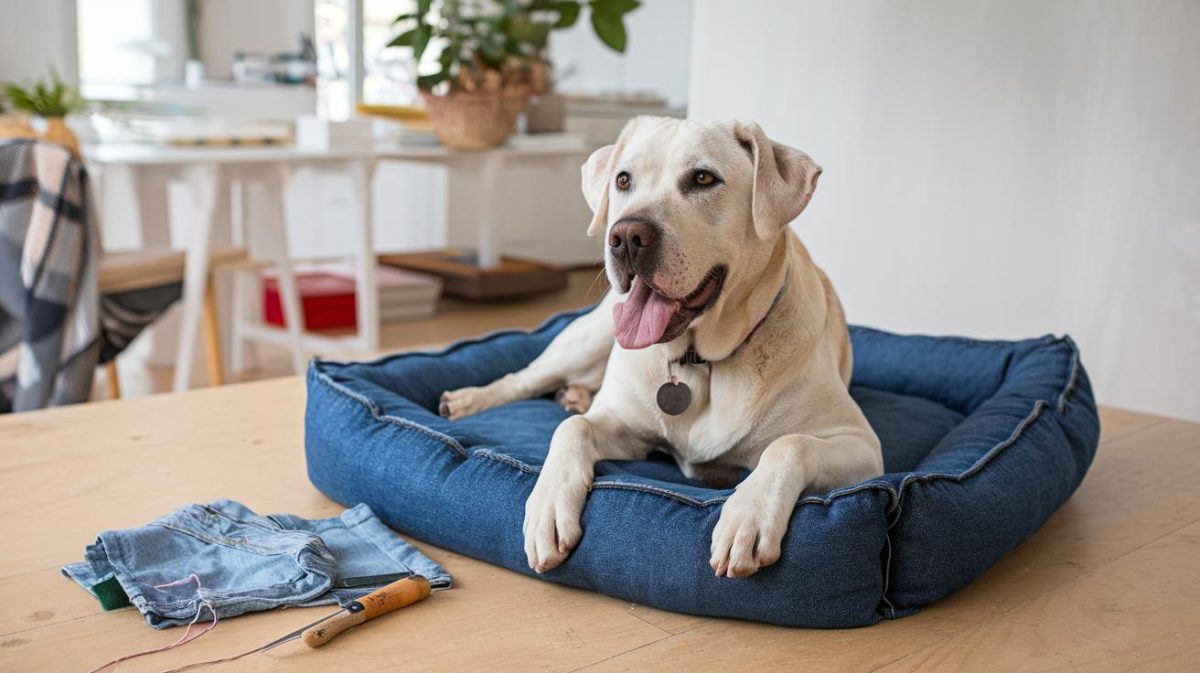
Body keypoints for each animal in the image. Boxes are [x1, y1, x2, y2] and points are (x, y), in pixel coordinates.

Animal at [441, 116, 883, 578]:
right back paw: (472, 399)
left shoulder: (862, 446)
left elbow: (790, 444)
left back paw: (574, 394)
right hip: (591, 333)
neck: (699, 360)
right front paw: (547, 507)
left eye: (703, 178)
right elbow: (573, 428)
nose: (626, 235)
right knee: (526, 378)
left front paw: (748, 518)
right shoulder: (627, 428)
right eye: (622, 180)